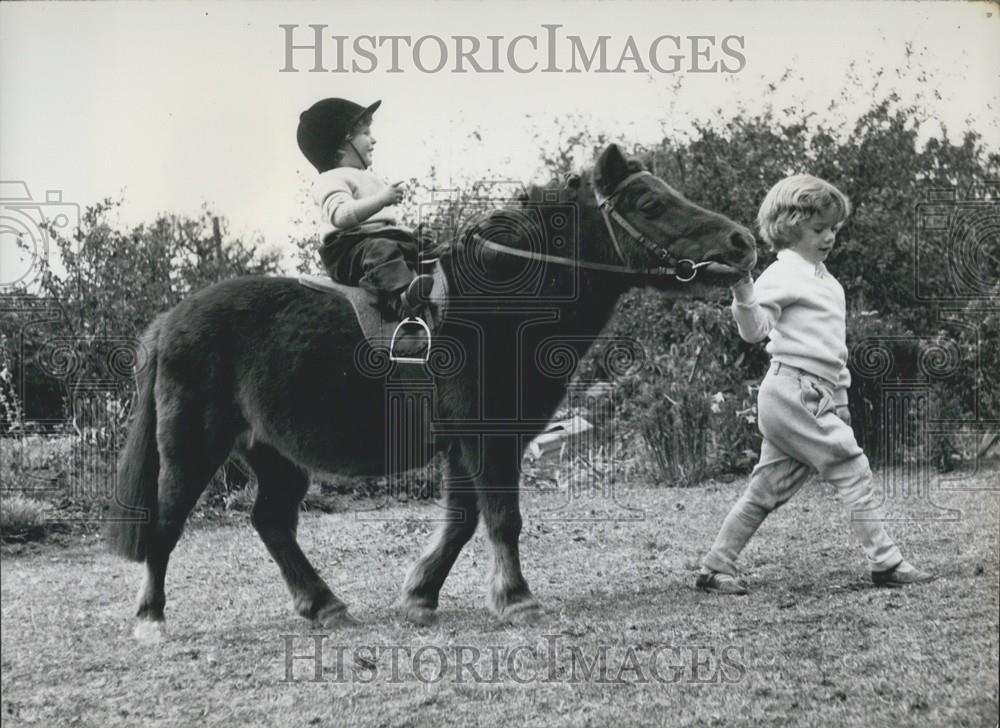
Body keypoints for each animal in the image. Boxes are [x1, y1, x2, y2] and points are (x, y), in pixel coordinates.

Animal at [105, 144, 752, 644]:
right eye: (650, 204)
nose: (742, 240)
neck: (497, 303)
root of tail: (169, 323)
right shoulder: (490, 441)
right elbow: (502, 518)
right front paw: (516, 598)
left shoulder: (466, 447)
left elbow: (462, 521)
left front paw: (421, 596)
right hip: (192, 450)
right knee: (167, 524)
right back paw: (151, 620)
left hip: (273, 456)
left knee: (271, 523)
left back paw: (324, 605)